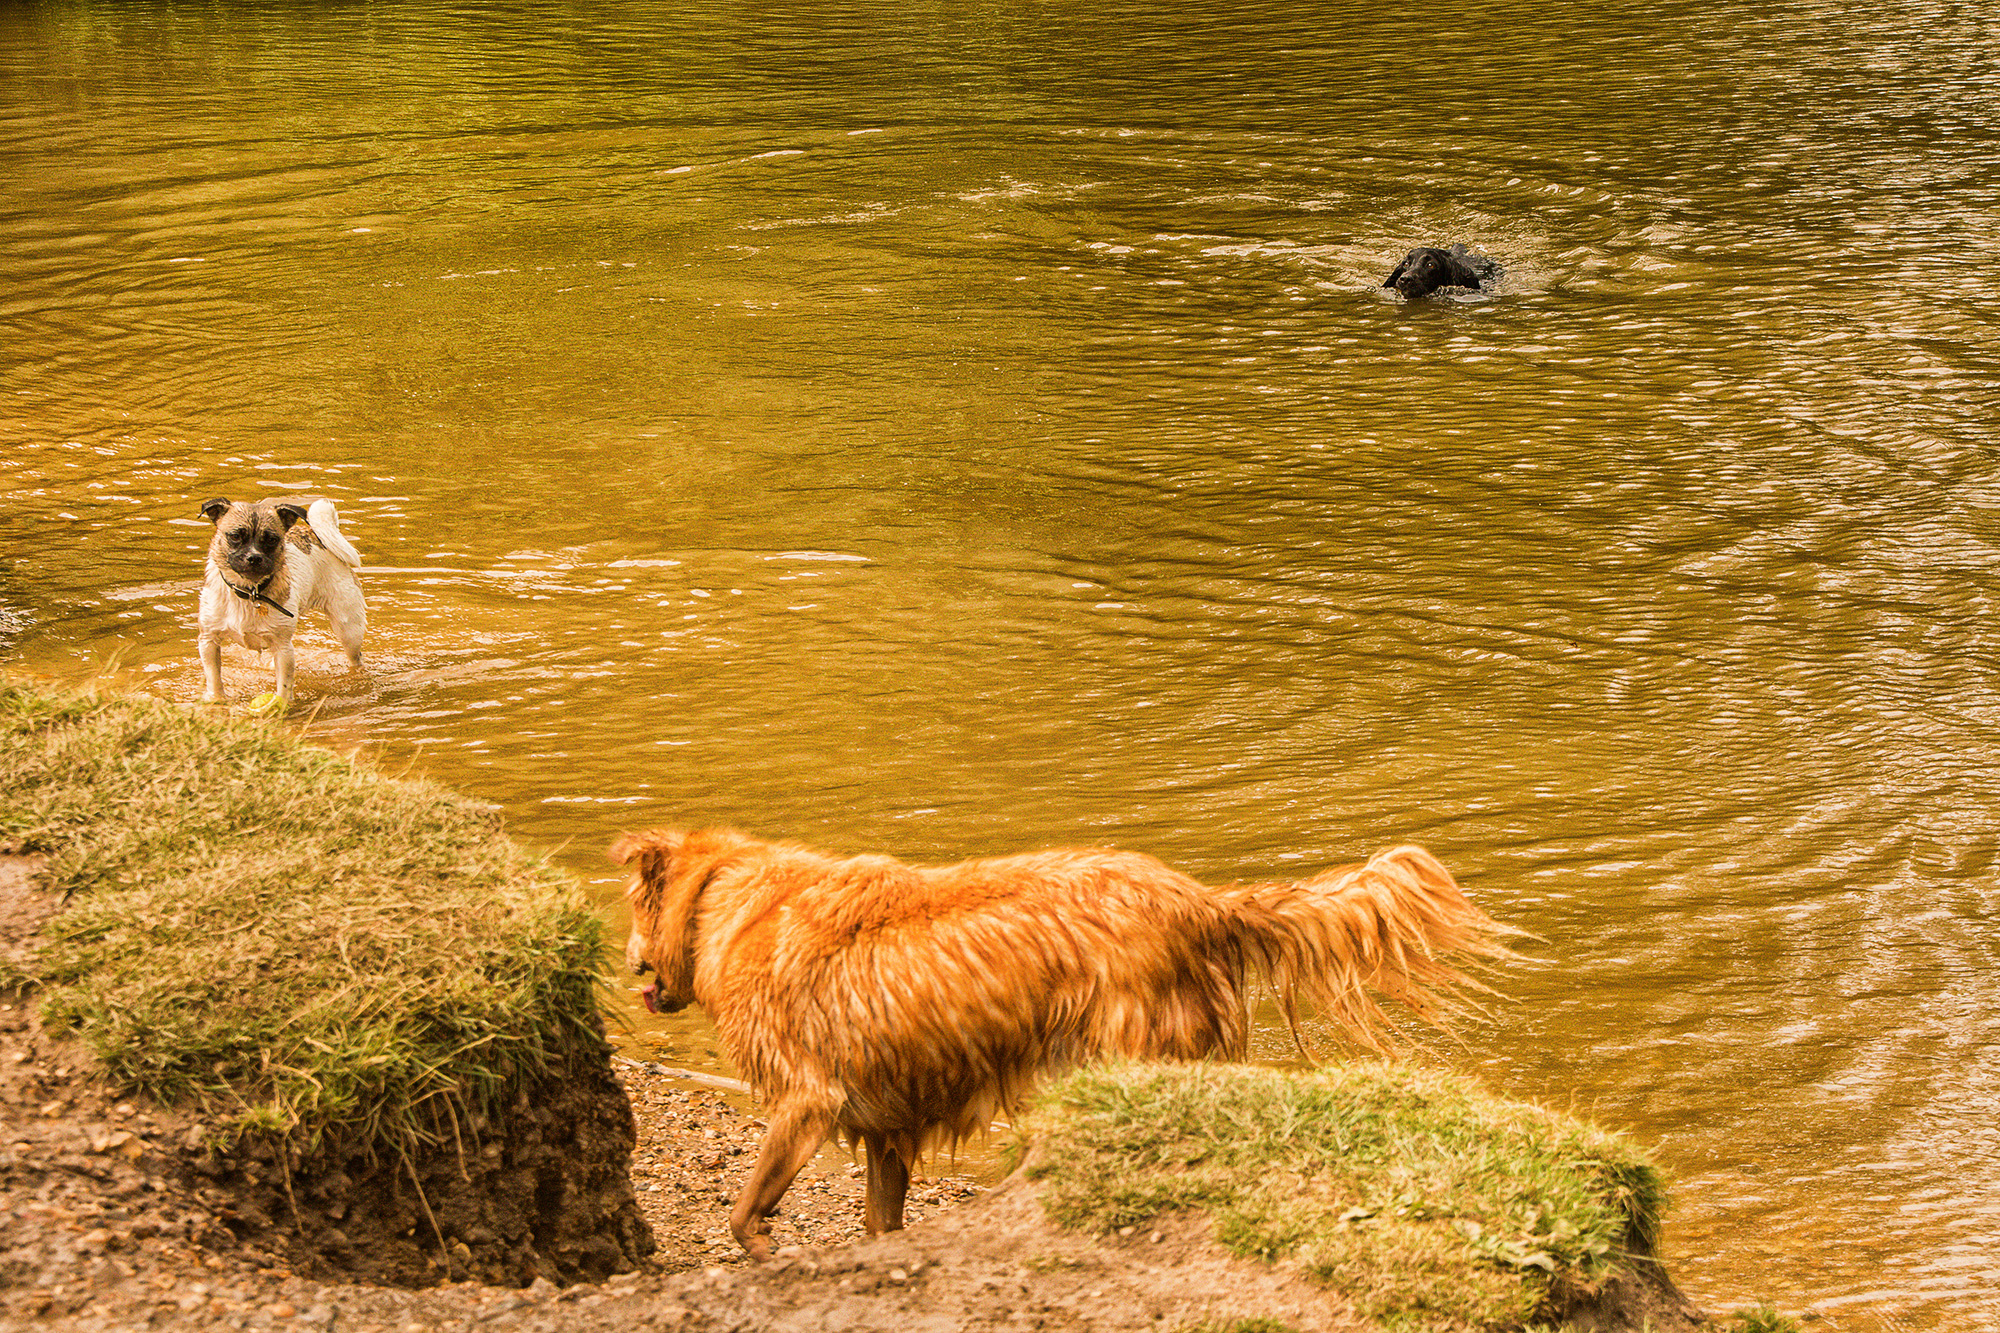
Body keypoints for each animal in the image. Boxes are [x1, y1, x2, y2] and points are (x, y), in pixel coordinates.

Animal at [198, 496, 368, 704]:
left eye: (272, 540)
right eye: (235, 536)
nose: (254, 557)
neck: (250, 591)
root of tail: (314, 535)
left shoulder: (283, 649)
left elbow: (284, 687)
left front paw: (283, 704)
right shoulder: (208, 641)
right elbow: (214, 678)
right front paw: (217, 699)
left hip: (349, 631)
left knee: (355, 658)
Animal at [616, 824, 1504, 1248]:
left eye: (631, 906)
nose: (627, 962)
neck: (729, 901)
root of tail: (1202, 901)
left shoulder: (808, 1099)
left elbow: (743, 1214)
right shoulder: (887, 1127)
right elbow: (880, 1222)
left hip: (1124, 1055)